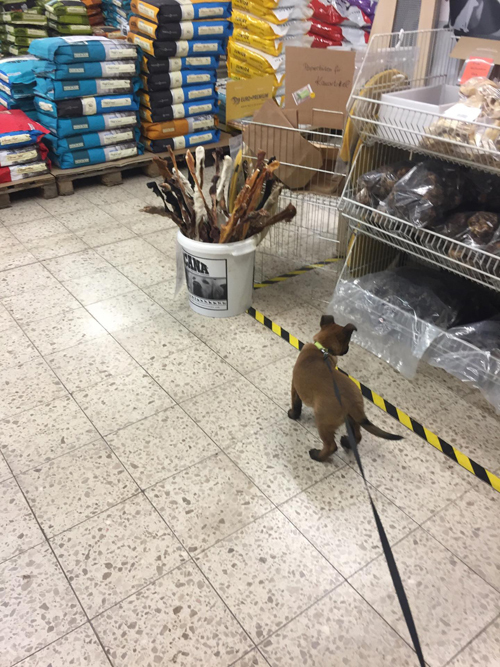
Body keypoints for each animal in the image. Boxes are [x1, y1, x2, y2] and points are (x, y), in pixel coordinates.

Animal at [289, 315, 403, 462]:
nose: (347, 349)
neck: (322, 349)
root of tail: (352, 403)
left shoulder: (294, 386)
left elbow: (296, 404)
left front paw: (293, 415)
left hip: (323, 421)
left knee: (331, 446)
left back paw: (317, 455)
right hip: (352, 419)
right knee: (358, 436)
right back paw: (346, 442)